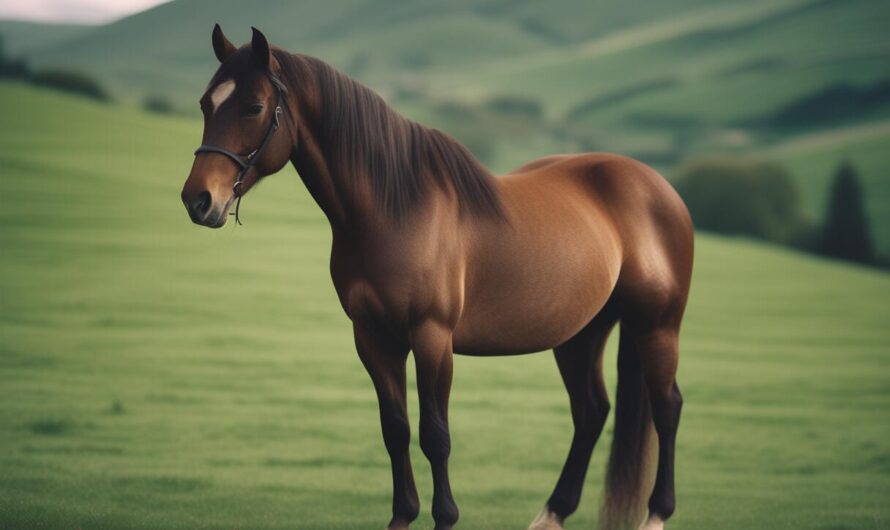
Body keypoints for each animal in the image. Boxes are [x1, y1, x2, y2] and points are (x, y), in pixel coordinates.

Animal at [181, 25, 693, 530]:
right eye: (206, 104)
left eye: (253, 107)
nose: (198, 200)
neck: (395, 209)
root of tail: (656, 185)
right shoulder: (372, 338)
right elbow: (395, 429)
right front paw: (402, 516)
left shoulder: (432, 337)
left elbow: (435, 435)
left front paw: (445, 517)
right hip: (581, 333)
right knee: (590, 413)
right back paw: (552, 513)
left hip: (657, 325)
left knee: (667, 407)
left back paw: (656, 513)